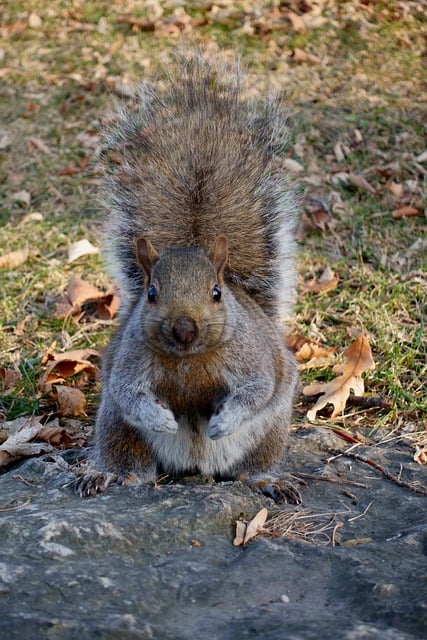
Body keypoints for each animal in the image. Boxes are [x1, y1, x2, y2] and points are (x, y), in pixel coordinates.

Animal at [74, 55, 300, 502]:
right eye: (151, 293)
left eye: (216, 293)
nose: (184, 329)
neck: (189, 360)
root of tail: (197, 465)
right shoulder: (129, 363)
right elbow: (130, 394)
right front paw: (160, 418)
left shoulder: (252, 359)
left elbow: (255, 390)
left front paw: (222, 420)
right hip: (115, 426)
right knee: (131, 464)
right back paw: (109, 475)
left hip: (272, 430)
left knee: (254, 464)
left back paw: (267, 479)